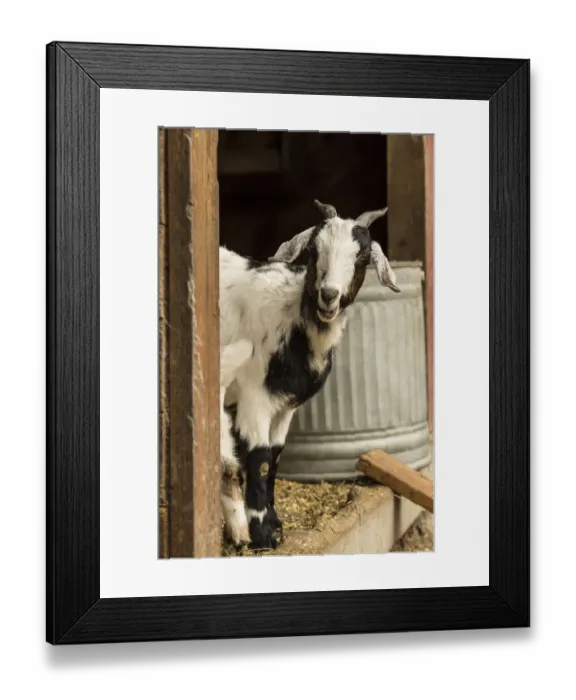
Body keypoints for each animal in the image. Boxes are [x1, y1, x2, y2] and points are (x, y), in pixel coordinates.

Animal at [220, 200, 399, 550]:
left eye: (362, 256)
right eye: (314, 251)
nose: (328, 295)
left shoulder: (285, 407)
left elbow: (275, 457)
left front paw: (275, 523)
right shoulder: (254, 397)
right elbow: (259, 458)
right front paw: (263, 536)